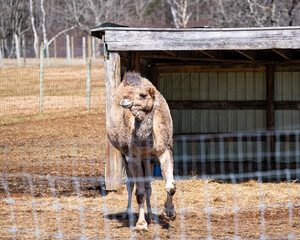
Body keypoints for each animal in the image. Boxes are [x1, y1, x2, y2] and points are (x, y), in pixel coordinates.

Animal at [106, 71, 176, 231]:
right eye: (129, 94)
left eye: (143, 95)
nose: (124, 100)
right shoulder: (133, 157)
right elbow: (139, 193)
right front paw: (141, 224)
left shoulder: (164, 151)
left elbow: (170, 186)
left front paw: (169, 213)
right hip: (124, 154)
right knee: (130, 183)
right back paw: (128, 213)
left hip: (149, 159)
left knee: (148, 185)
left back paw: (151, 215)